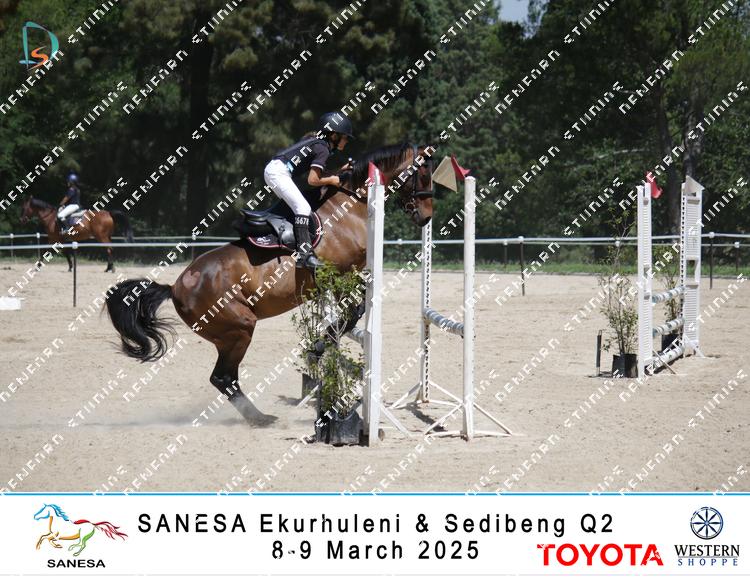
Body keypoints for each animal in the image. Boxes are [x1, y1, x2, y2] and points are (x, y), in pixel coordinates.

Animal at [105, 143, 435, 425]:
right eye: (422, 174)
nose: (426, 217)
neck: (350, 203)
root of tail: (175, 287)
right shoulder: (341, 273)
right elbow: (354, 310)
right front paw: (319, 345)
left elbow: (352, 310)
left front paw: (321, 344)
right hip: (239, 327)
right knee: (223, 378)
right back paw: (261, 419)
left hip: (227, 335)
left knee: (225, 379)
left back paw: (258, 416)